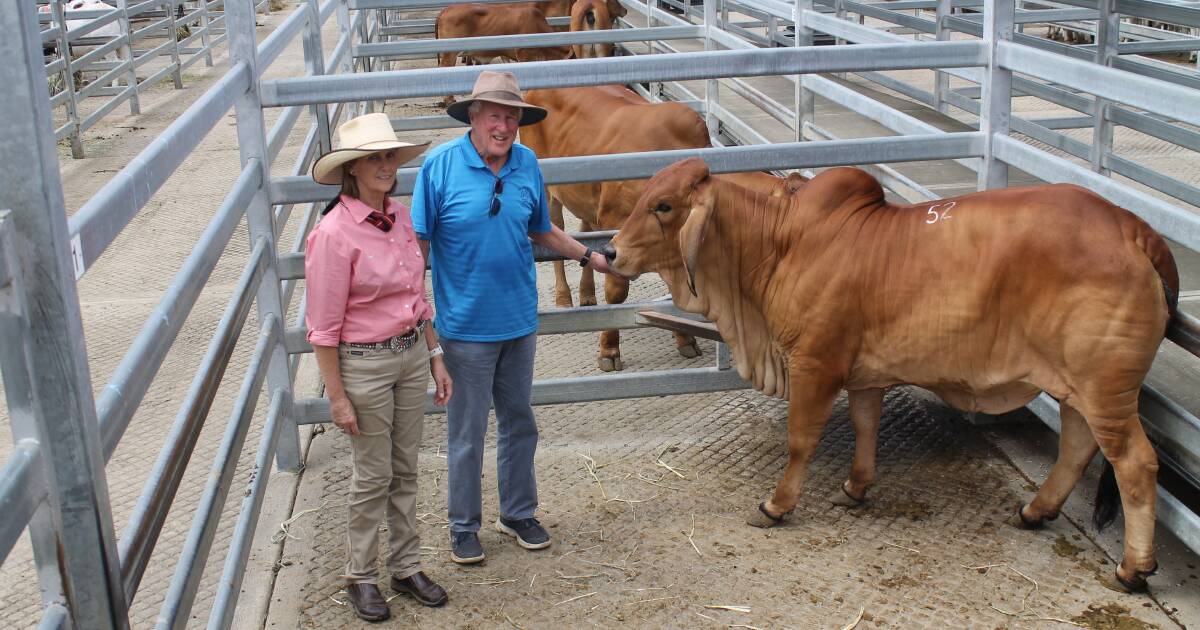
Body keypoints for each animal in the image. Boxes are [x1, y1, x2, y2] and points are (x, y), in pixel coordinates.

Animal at [523, 83, 806, 369]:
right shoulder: (616, 228)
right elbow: (616, 292)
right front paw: (609, 350)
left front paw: (684, 339)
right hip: (548, 191)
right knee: (556, 231)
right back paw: (563, 299)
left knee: (584, 229)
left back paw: (587, 294)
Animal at [609, 158, 1180, 595]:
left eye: (664, 206)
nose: (611, 249)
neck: (778, 241)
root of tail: (1136, 230)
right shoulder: (864, 374)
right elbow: (866, 424)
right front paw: (856, 487)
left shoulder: (814, 364)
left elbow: (801, 440)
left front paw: (776, 505)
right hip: (1078, 389)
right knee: (1079, 447)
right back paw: (1035, 511)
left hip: (1104, 390)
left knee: (1135, 465)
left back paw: (1133, 569)